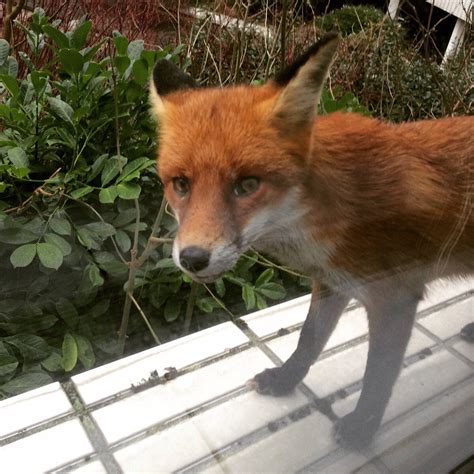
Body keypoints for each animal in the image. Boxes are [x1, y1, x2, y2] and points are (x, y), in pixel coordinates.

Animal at [149, 34, 474, 448]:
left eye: (248, 185)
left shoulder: (395, 297)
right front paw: (286, 380)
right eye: (181, 184)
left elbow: (378, 375)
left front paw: (362, 428)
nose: (192, 258)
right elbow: (308, 340)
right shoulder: (332, 282)